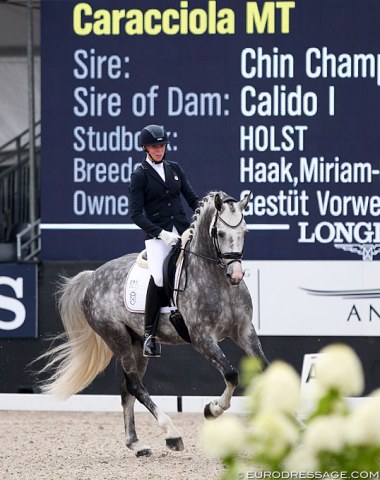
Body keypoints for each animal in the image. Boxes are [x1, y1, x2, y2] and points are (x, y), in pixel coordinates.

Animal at [38, 190, 268, 454]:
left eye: (245, 232)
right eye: (220, 233)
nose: (236, 275)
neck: (218, 281)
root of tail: (92, 277)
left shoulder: (244, 331)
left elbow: (267, 370)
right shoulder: (202, 338)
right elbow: (230, 374)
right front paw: (212, 409)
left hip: (137, 343)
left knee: (126, 388)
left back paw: (136, 444)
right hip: (117, 338)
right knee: (136, 387)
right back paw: (172, 433)